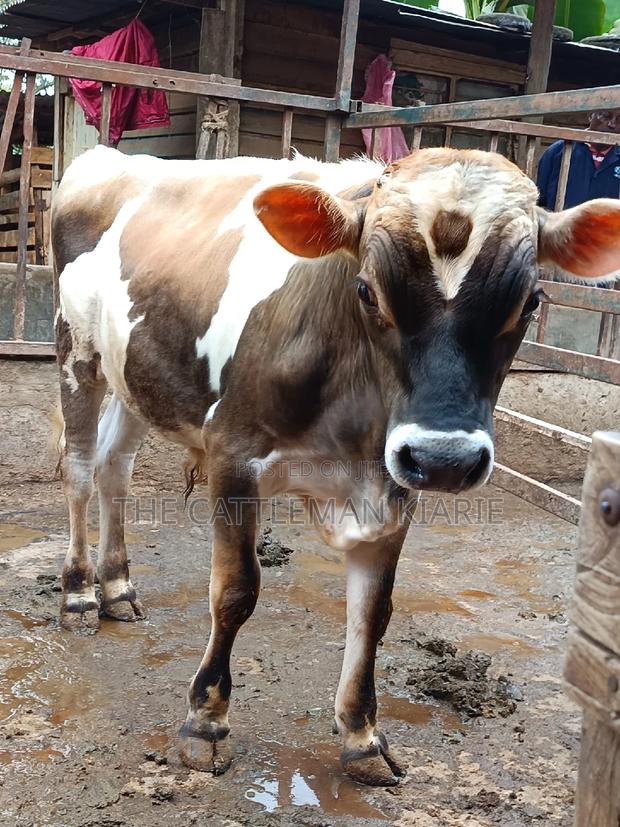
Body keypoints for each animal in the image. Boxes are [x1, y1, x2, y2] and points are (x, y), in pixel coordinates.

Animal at [51, 145, 620, 787]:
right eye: (367, 291)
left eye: (530, 302)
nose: (445, 458)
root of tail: (108, 156)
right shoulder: (233, 456)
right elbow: (235, 591)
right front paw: (205, 723)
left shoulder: (396, 482)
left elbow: (373, 611)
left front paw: (362, 737)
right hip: (77, 351)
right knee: (79, 470)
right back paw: (78, 594)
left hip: (135, 376)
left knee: (114, 469)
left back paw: (117, 586)